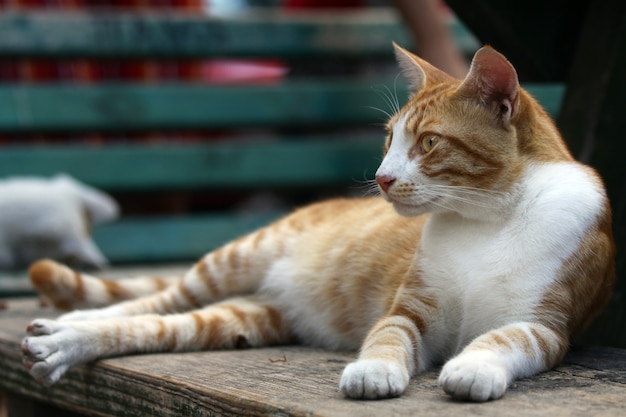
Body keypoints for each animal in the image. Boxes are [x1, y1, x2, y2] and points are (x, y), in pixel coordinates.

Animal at [22, 44, 612, 400]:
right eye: (389, 140)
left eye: (428, 143)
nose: (381, 179)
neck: (487, 219)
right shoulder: (410, 310)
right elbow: (388, 336)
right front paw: (374, 371)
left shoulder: (548, 326)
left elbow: (506, 339)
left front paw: (474, 367)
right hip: (234, 259)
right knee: (151, 301)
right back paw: (70, 324)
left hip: (243, 317)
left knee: (159, 325)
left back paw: (67, 340)